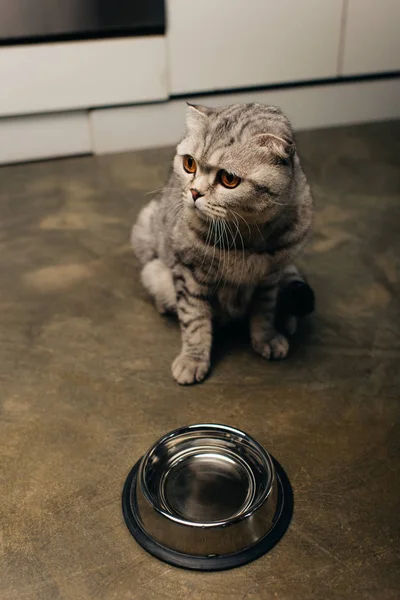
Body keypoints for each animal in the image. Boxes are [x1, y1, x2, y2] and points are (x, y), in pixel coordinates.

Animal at [133, 102, 314, 384]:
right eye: (189, 164)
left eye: (229, 179)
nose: (194, 192)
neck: (246, 239)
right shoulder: (188, 270)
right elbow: (194, 318)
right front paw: (193, 358)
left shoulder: (271, 275)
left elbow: (264, 310)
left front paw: (266, 337)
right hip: (146, 233)